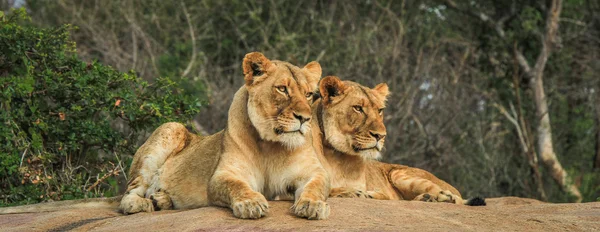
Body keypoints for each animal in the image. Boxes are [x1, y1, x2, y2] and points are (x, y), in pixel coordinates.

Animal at [312, 75, 486, 205]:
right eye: (358, 108)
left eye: (380, 110)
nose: (380, 135)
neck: (339, 157)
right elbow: (330, 189)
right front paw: (352, 192)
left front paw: (363, 194)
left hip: (399, 173)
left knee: (455, 198)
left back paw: (436, 197)